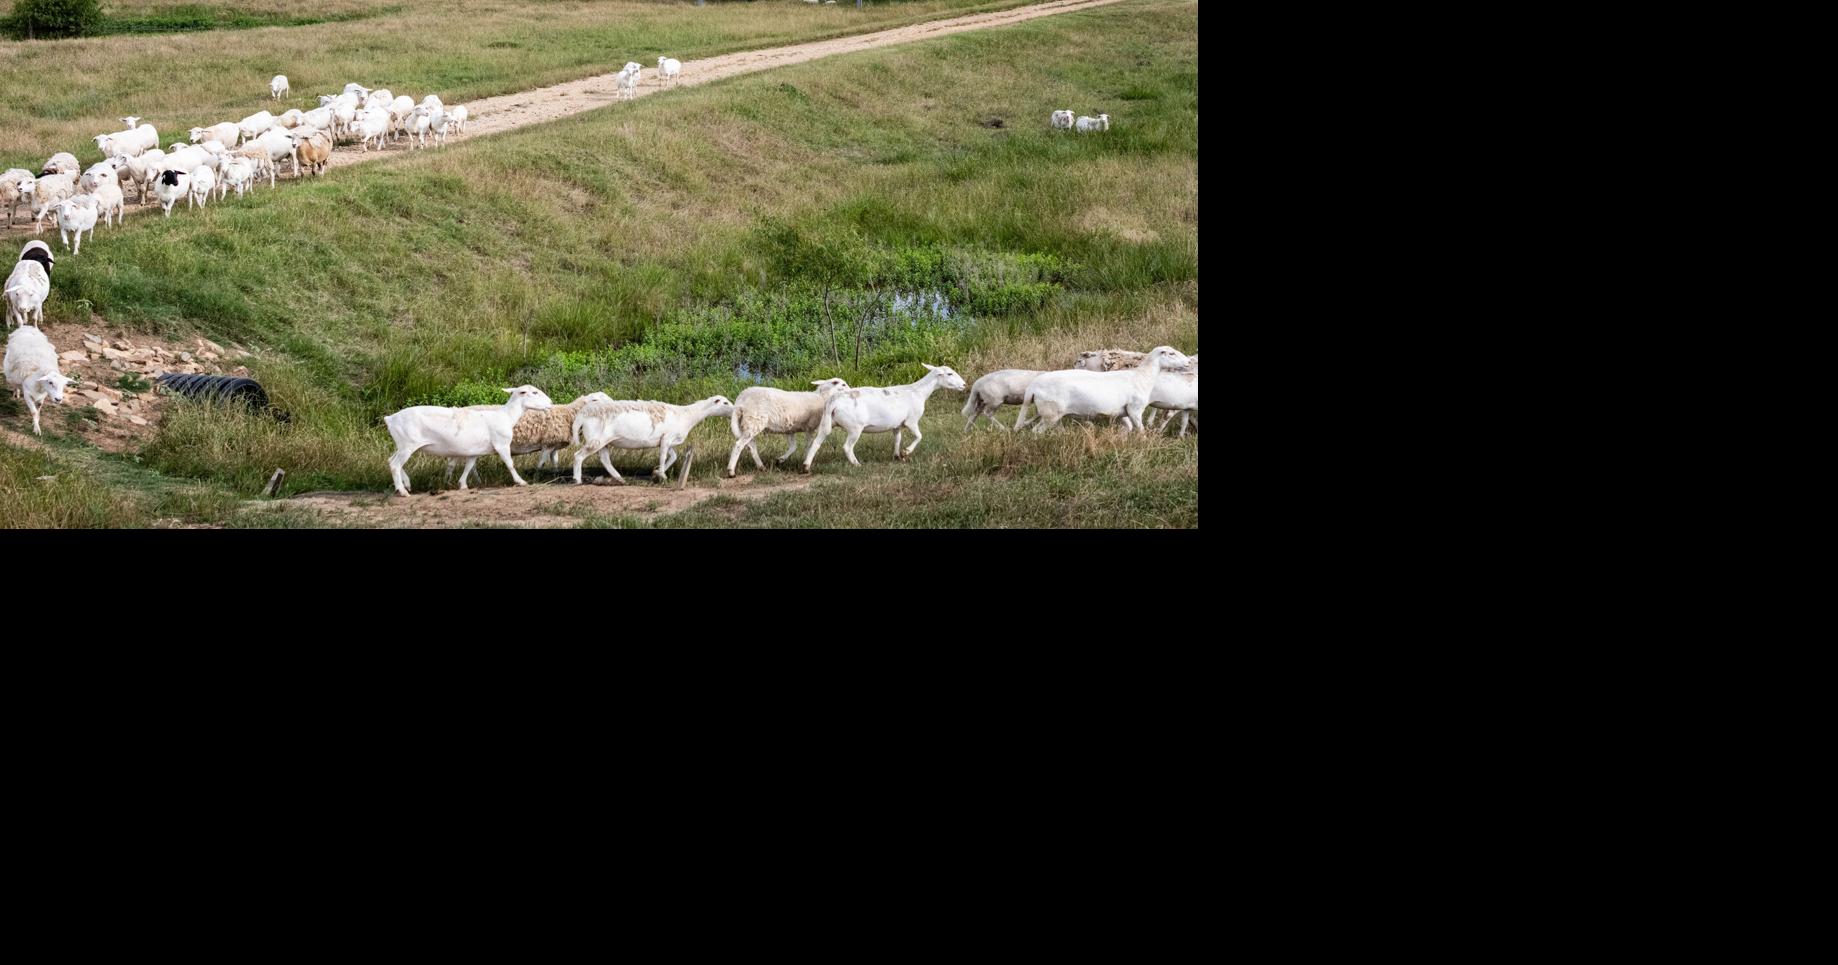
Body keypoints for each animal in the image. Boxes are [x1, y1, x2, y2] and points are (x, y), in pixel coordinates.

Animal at [384, 386, 555, 495]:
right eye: (534, 392)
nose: (551, 402)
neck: (506, 416)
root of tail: (390, 418)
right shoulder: (502, 444)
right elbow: (510, 464)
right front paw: (521, 481)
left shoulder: (475, 450)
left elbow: (469, 466)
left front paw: (463, 484)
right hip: (408, 444)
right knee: (395, 465)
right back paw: (402, 491)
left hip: (402, 445)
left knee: (392, 461)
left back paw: (406, 484)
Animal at [571, 396, 736, 485]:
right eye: (725, 403)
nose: (735, 410)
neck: (687, 415)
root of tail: (581, 416)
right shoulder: (667, 437)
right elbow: (663, 456)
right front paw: (662, 475)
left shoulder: (666, 440)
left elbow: (673, 456)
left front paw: (657, 472)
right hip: (596, 440)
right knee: (578, 456)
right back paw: (577, 480)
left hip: (602, 442)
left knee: (605, 459)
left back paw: (620, 479)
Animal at [801, 364, 967, 470]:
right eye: (949, 374)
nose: (964, 385)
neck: (919, 391)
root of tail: (834, 401)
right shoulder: (911, 420)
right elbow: (919, 436)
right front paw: (906, 452)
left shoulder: (897, 424)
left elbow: (897, 439)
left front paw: (897, 456)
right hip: (855, 427)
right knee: (847, 447)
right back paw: (856, 464)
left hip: (826, 423)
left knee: (816, 443)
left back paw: (806, 466)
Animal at [1015, 346, 1188, 433]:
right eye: (1171, 353)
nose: (1187, 362)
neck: (1142, 376)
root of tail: (1033, 386)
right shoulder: (1135, 409)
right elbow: (1140, 430)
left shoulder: (1122, 412)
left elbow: (1128, 427)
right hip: (1051, 413)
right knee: (1036, 432)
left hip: (1049, 414)